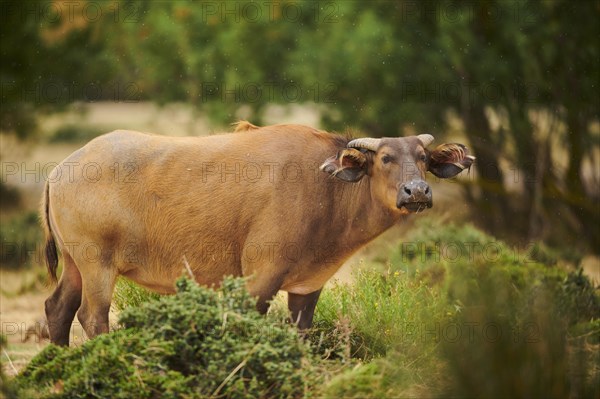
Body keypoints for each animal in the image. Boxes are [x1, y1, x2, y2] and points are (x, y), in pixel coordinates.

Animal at [41, 123, 474, 346]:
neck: (325, 188)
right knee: (92, 316)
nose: (417, 191)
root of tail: (60, 169)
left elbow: (300, 335)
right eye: (385, 158)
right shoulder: (259, 278)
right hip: (97, 264)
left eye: (423, 159)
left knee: (58, 309)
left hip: (75, 265)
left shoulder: (306, 287)